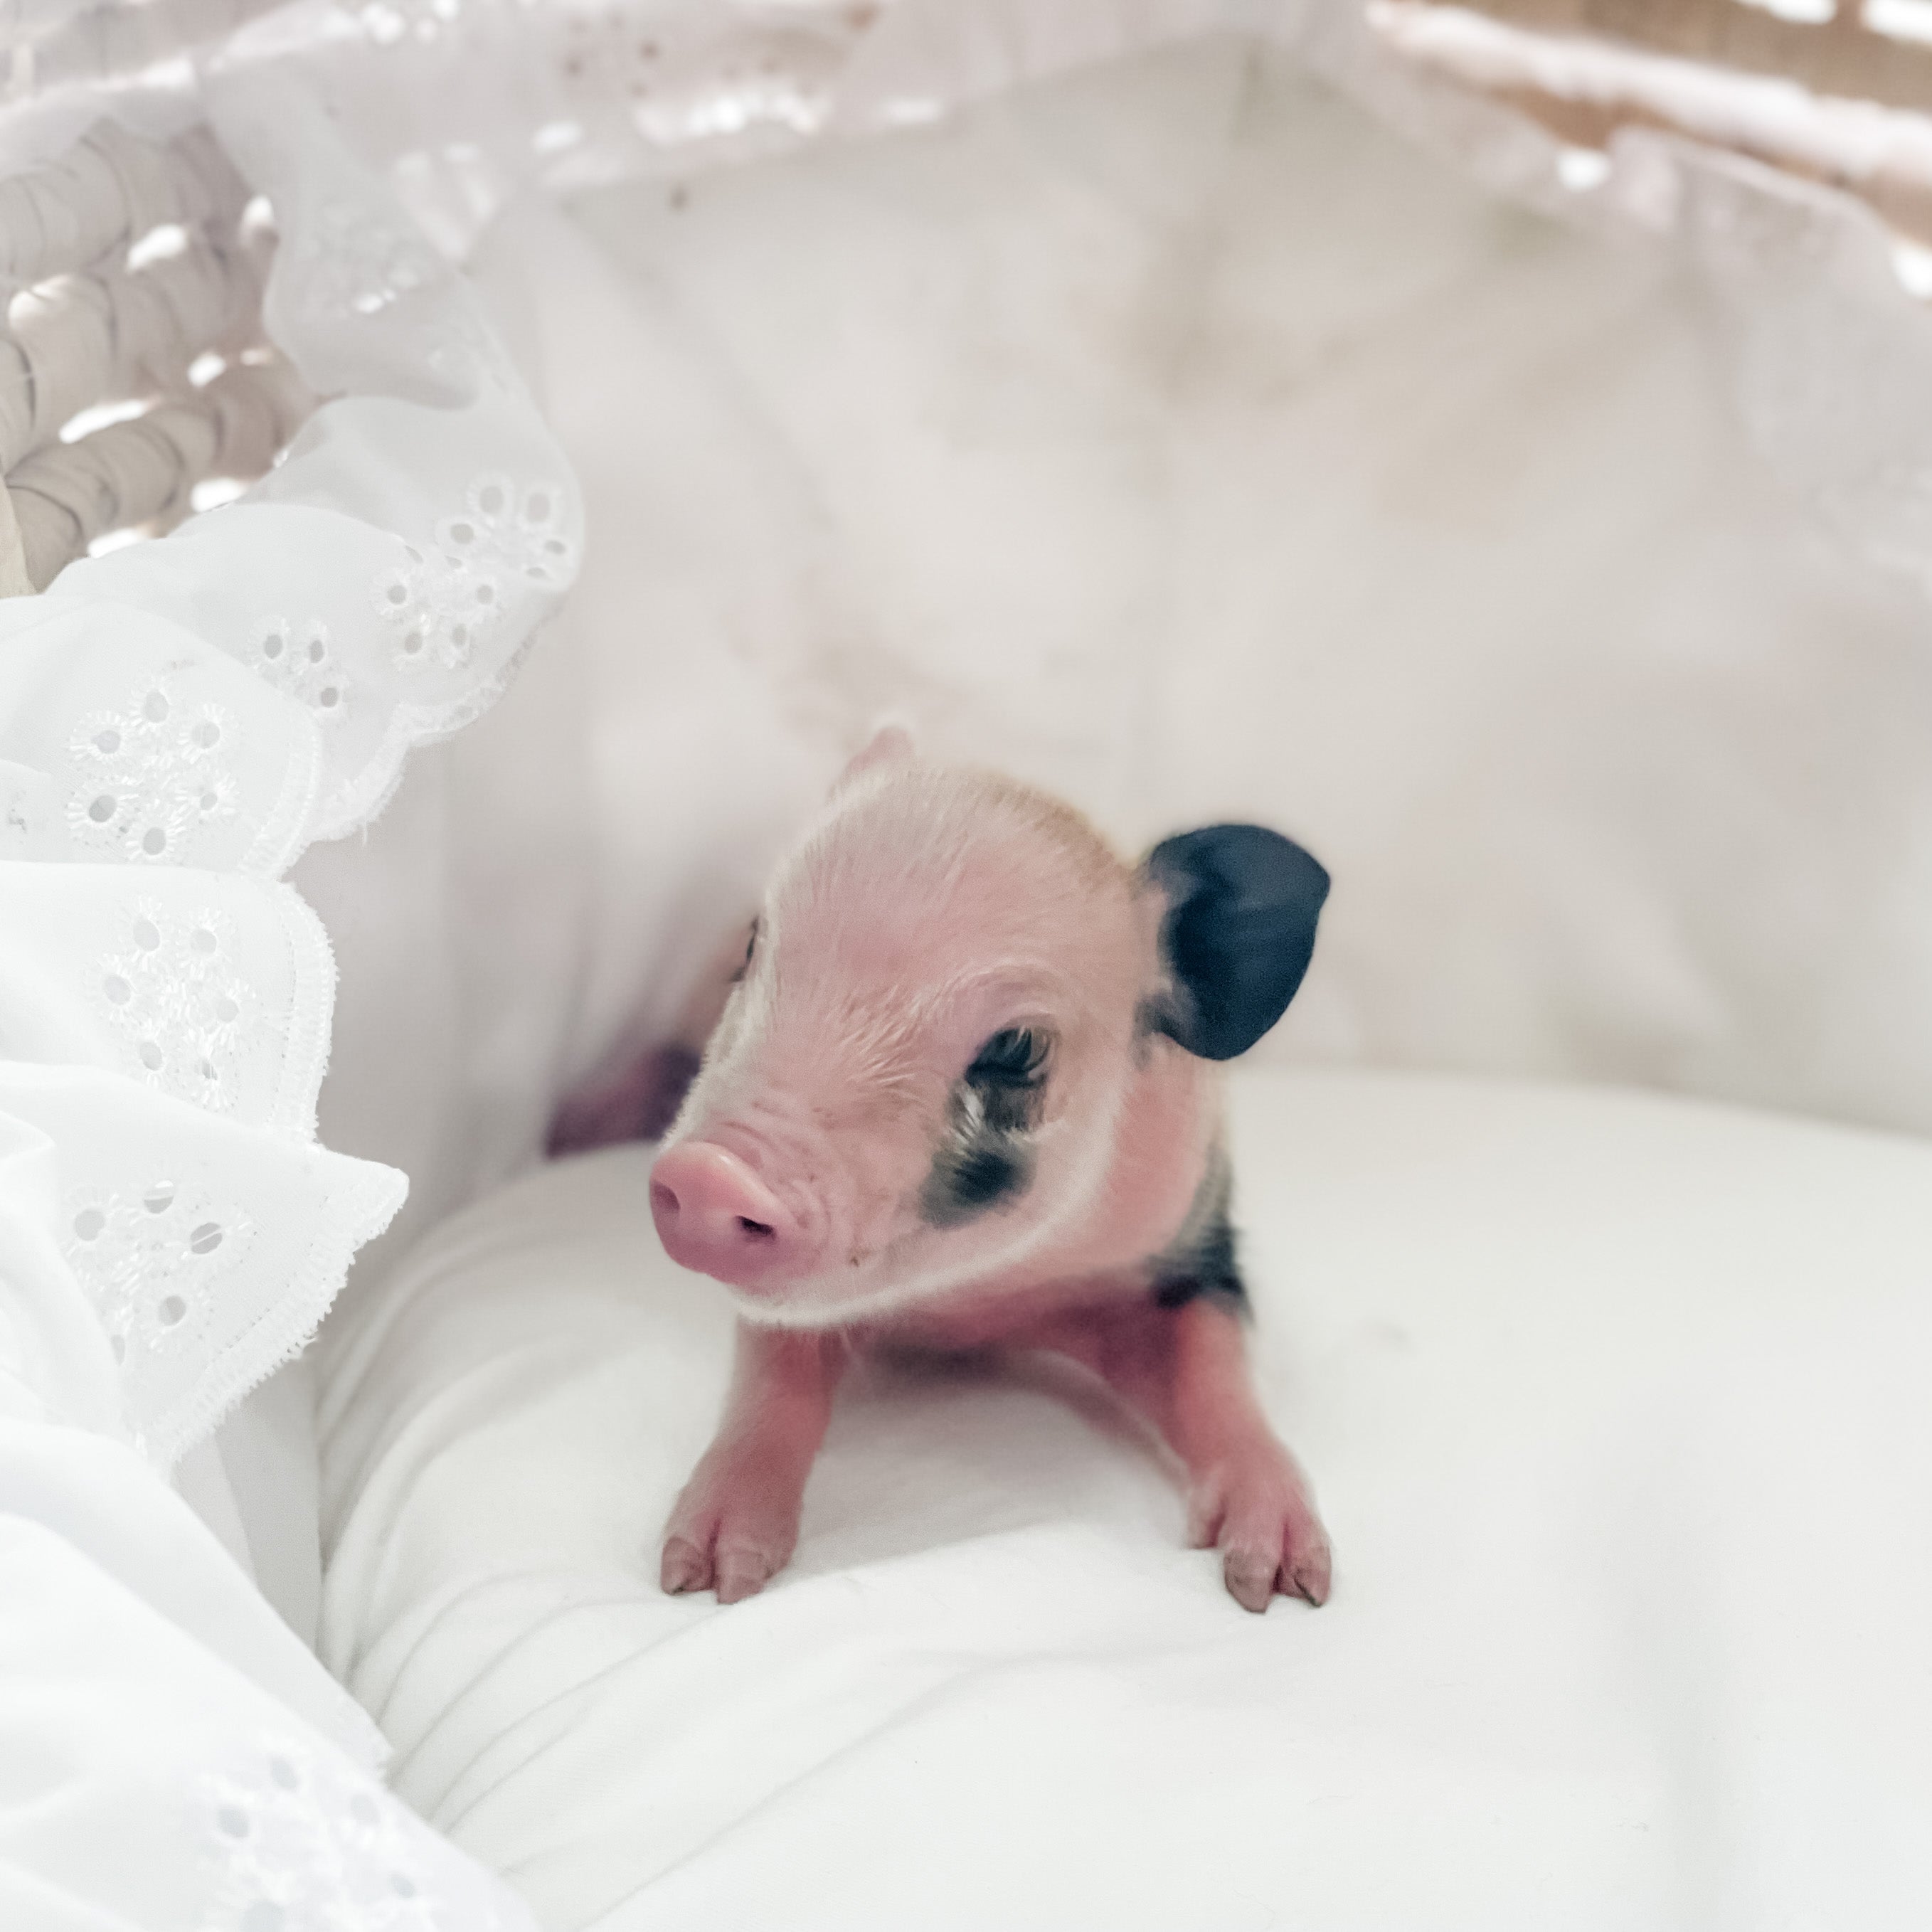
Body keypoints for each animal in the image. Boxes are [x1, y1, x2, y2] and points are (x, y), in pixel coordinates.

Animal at [648, 727, 1333, 1613]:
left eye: (1016, 1046)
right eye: (752, 946)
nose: (711, 1172)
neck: (975, 1313)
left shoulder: (1195, 1243)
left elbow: (1216, 1369)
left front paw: (1283, 1584)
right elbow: (771, 1380)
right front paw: (701, 1575)